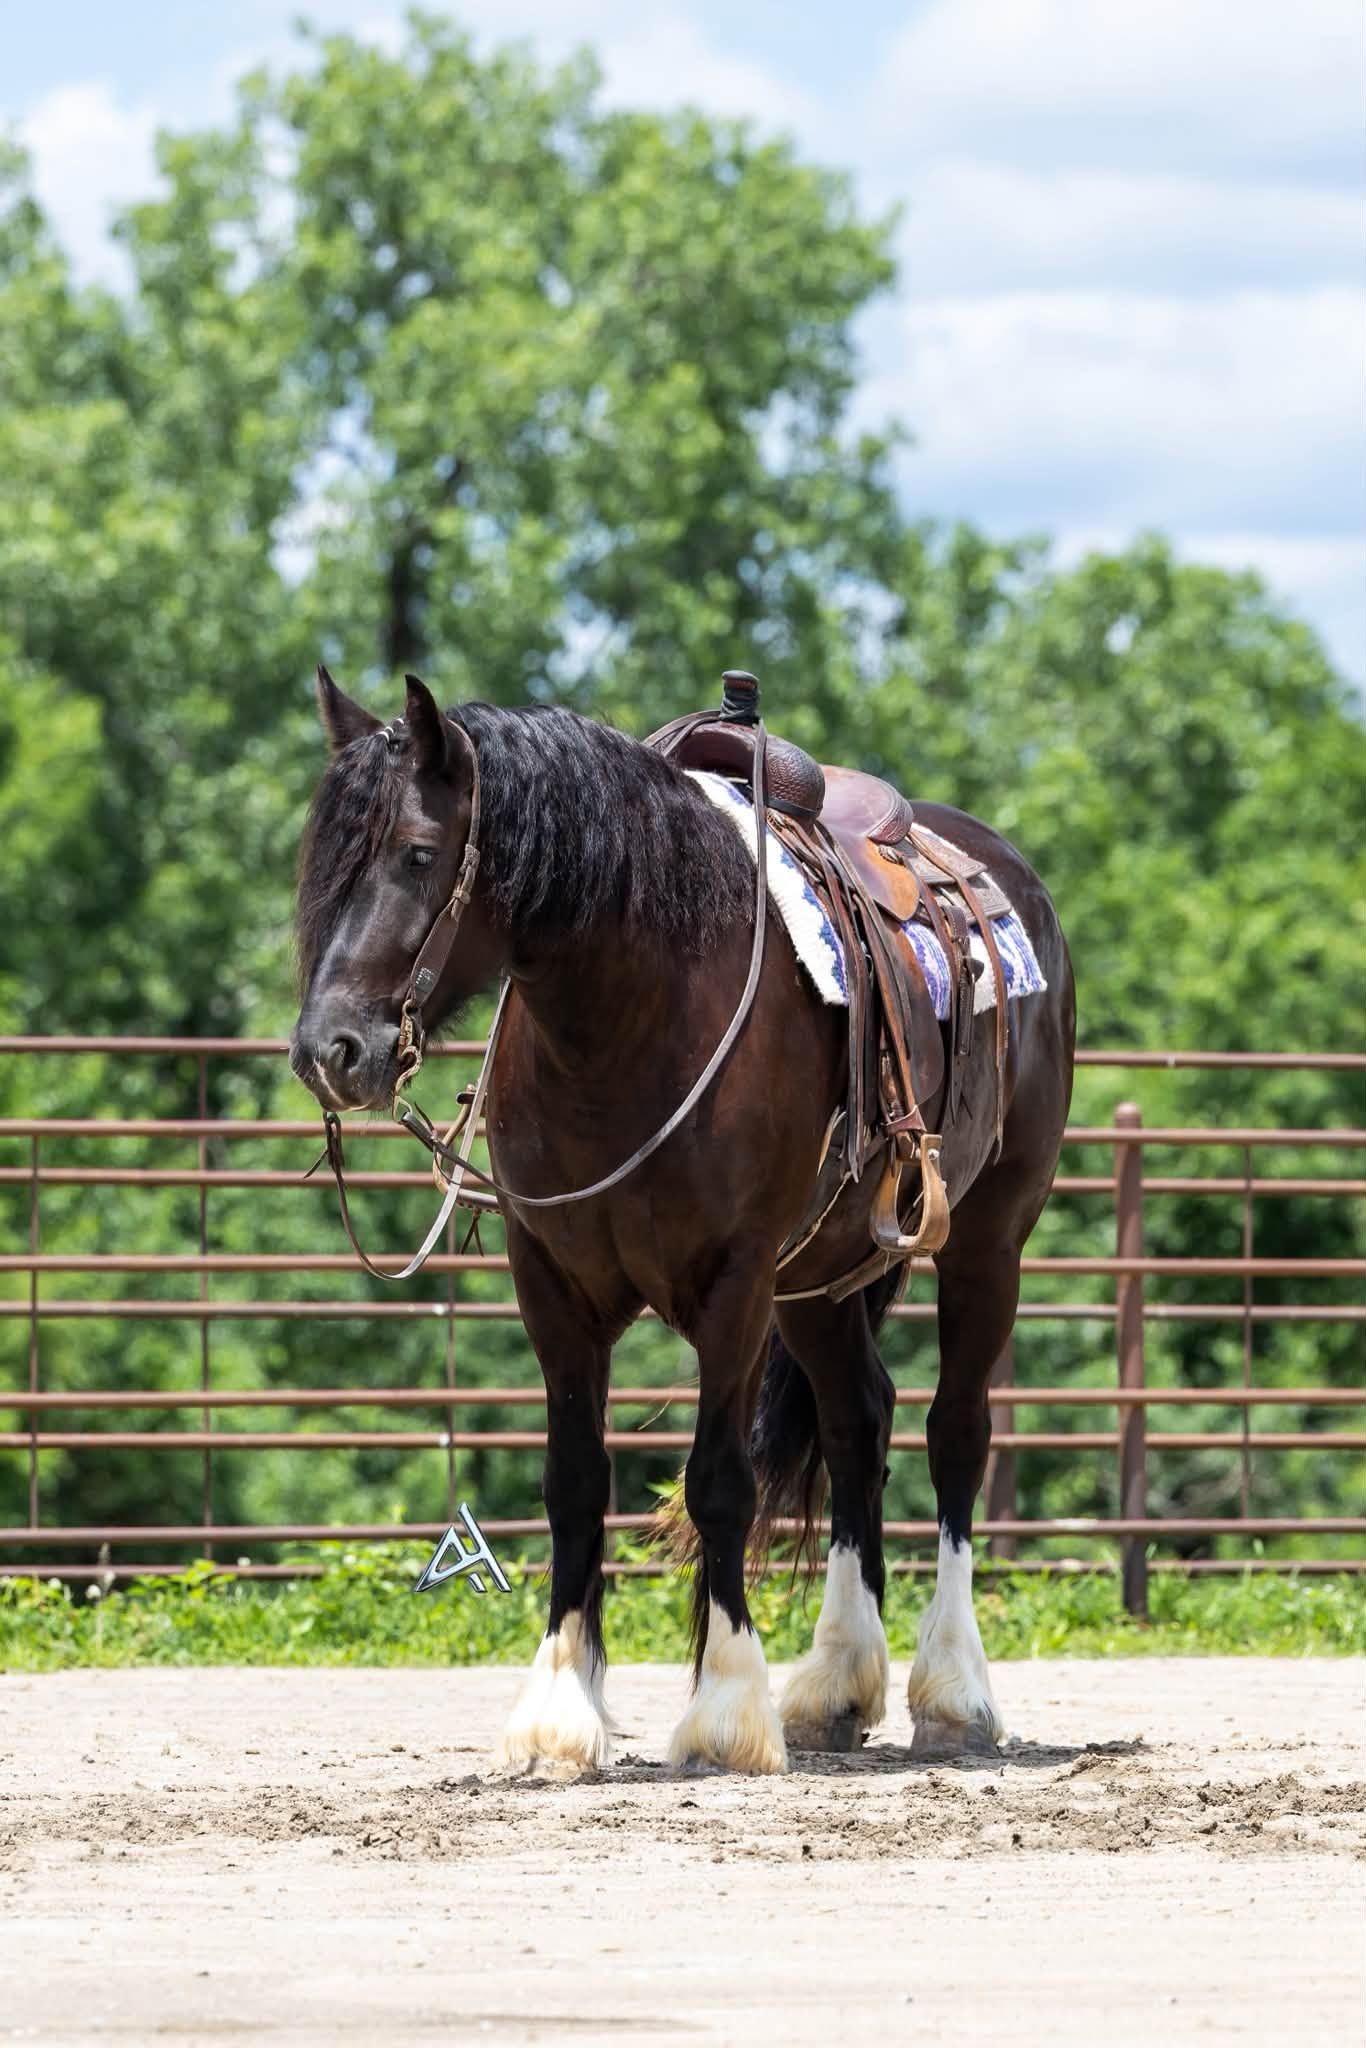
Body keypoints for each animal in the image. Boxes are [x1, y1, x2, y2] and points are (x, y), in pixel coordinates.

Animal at [290, 668, 1076, 1774]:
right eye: (320, 862)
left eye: (415, 852)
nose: (331, 1049)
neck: (633, 1010)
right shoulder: (553, 1282)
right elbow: (575, 1481)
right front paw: (559, 1711)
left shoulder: (735, 1280)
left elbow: (719, 1483)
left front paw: (726, 1710)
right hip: (819, 1279)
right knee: (858, 1420)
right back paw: (836, 1682)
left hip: (986, 1239)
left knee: (954, 1431)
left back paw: (954, 1693)